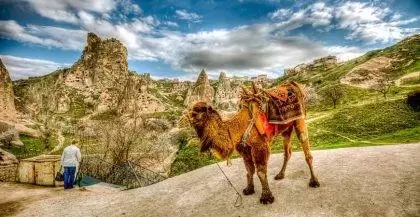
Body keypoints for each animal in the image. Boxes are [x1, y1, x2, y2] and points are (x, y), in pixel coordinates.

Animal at [189, 82, 320, 204]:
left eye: (198, 112)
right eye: (191, 112)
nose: (189, 119)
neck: (238, 126)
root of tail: (293, 84)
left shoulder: (259, 146)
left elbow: (260, 172)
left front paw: (266, 197)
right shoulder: (245, 149)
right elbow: (249, 170)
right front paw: (249, 189)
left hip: (299, 119)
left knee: (306, 149)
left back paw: (314, 181)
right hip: (286, 128)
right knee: (287, 152)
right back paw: (280, 175)